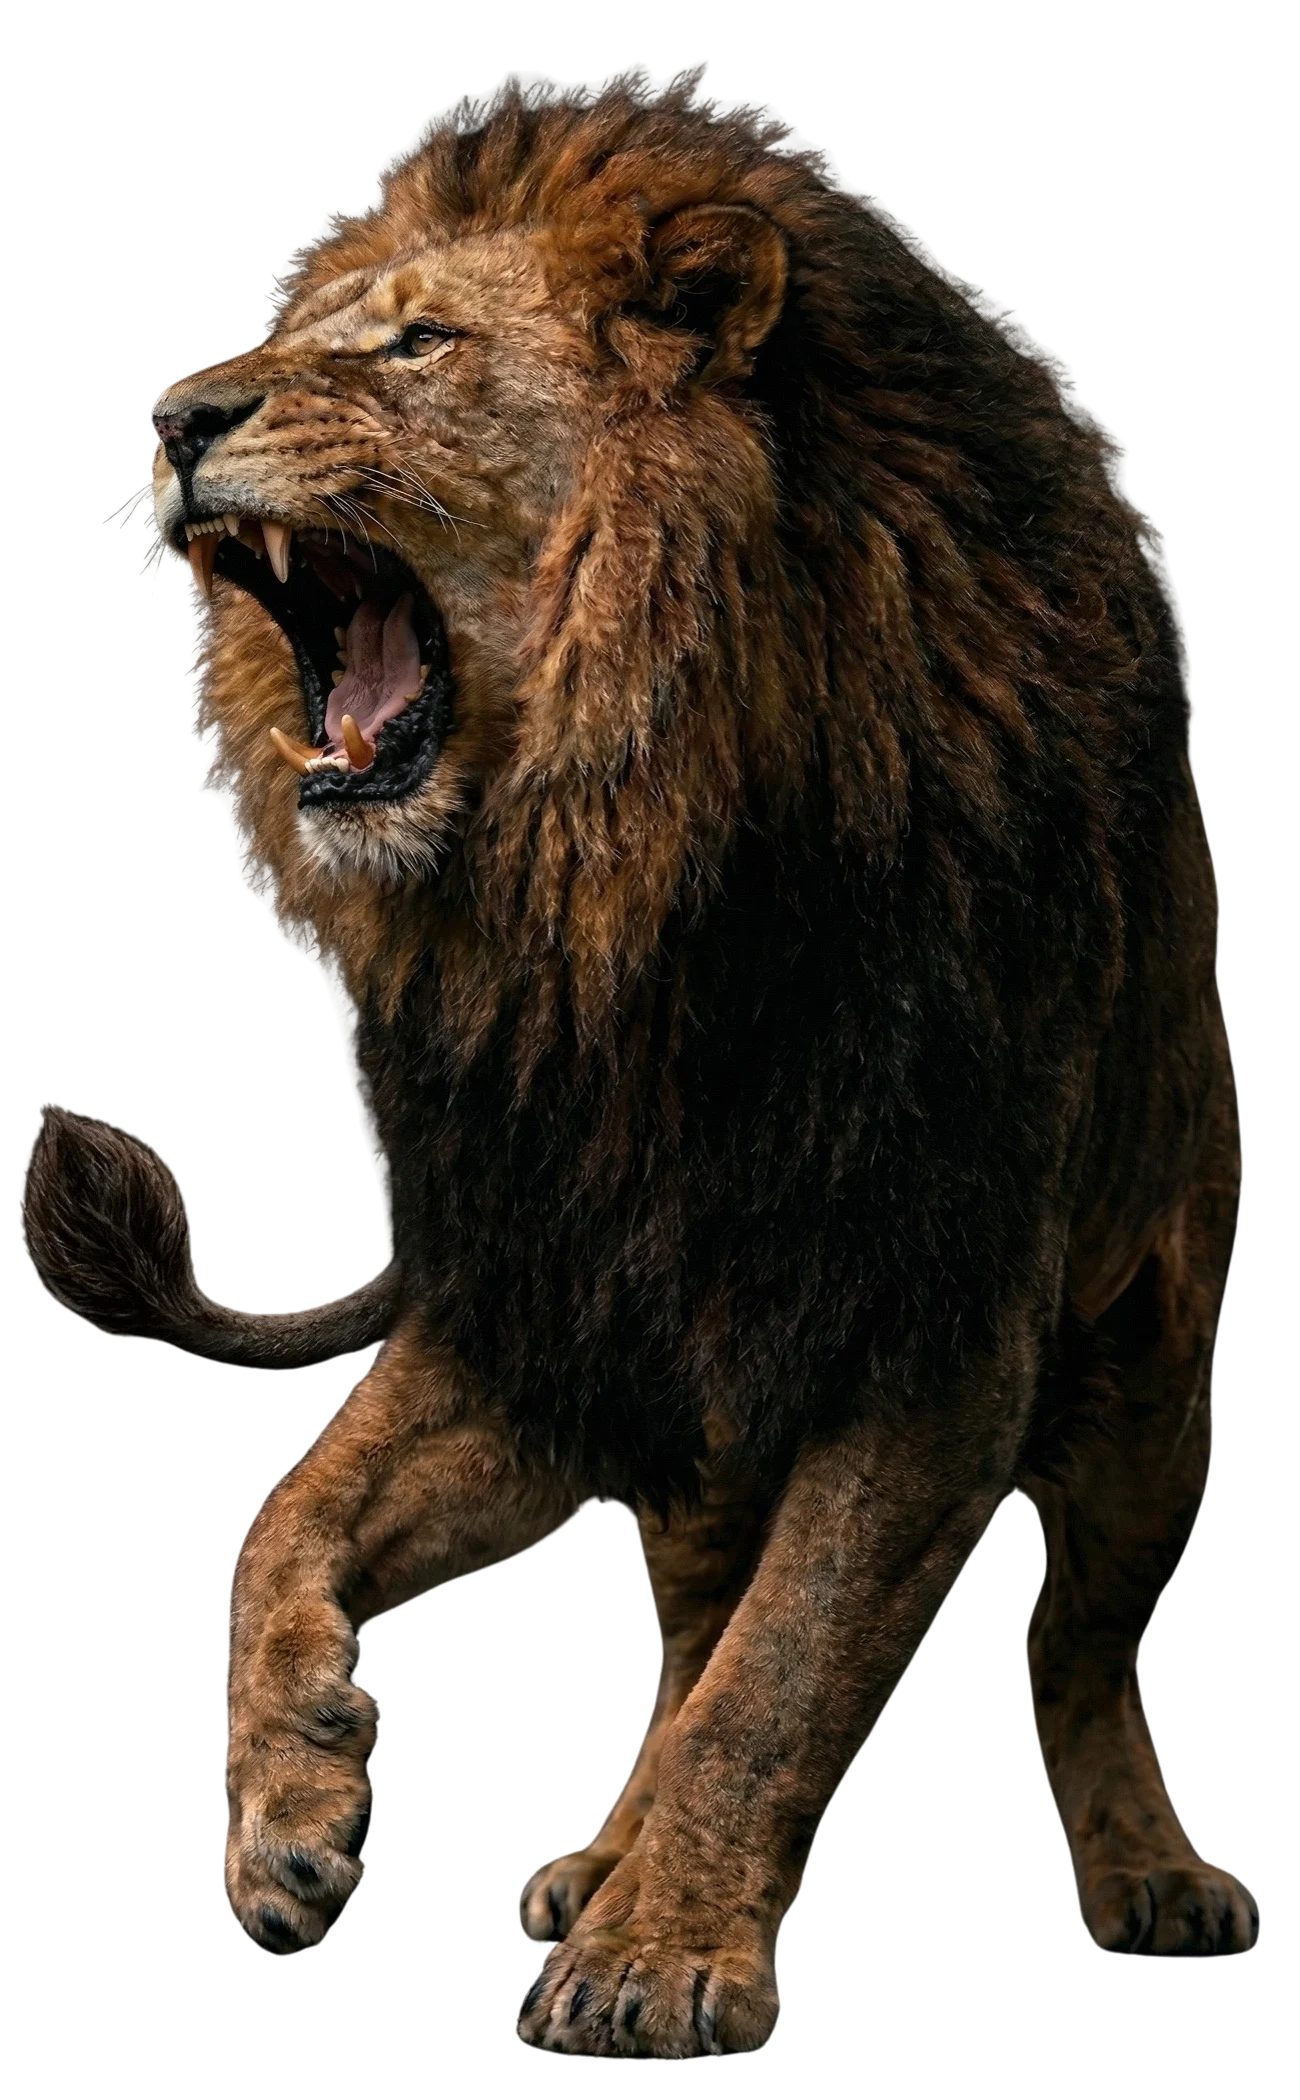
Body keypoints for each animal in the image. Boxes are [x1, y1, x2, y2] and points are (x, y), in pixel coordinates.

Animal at [21, 65, 1256, 2047]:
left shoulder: (933, 1301)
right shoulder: (554, 1298)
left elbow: (787, 1673)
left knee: (1081, 1650)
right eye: (298, 335)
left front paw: (660, 1956)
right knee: (685, 1627)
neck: (616, 898)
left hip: (1157, 1367)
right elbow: (285, 1518)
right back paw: (595, 1844)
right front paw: (293, 1818)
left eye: (418, 343)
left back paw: (1150, 1874)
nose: (174, 420)